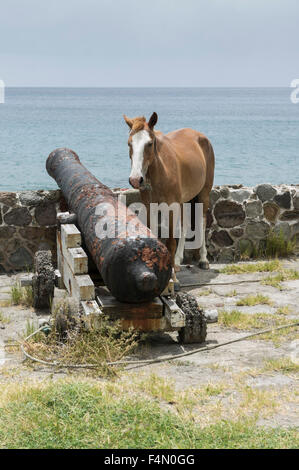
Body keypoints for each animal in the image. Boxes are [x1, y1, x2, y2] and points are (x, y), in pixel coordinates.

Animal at [124, 113, 216, 282]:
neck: (160, 170)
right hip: (184, 199)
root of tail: (201, 137)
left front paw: (173, 278)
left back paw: (203, 259)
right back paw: (178, 261)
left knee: (202, 221)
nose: (135, 179)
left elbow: (171, 242)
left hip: (203, 194)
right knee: (185, 224)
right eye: (129, 143)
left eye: (149, 143)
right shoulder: (150, 207)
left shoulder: (171, 206)